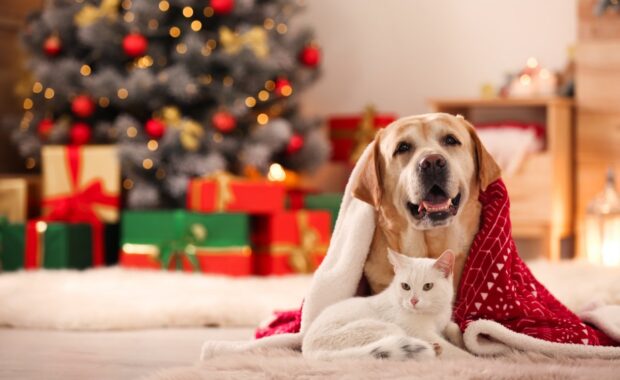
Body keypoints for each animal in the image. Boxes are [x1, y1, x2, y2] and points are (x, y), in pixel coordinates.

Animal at [302, 248, 470, 360]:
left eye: (428, 286)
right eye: (405, 286)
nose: (413, 301)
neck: (433, 314)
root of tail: (311, 353)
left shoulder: (444, 321)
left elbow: (453, 327)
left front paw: (460, 340)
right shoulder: (421, 332)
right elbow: (456, 352)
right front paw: (471, 357)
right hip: (387, 329)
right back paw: (434, 349)